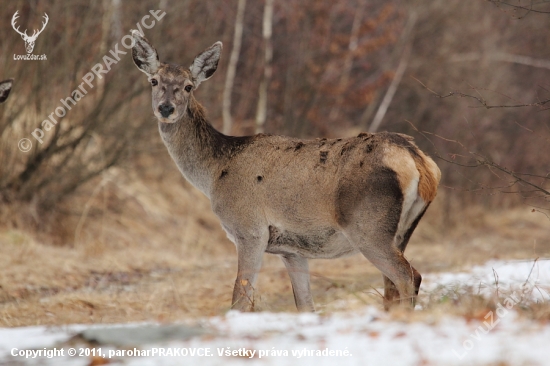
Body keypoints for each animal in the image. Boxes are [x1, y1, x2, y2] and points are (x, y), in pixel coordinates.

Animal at [132, 30, 442, 314]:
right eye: (154, 81)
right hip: (402, 229)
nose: (166, 108)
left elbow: (239, 299)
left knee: (408, 276)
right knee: (393, 285)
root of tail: (418, 160)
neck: (215, 172)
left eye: (188, 86)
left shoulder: (250, 229)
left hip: (368, 225)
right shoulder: (292, 251)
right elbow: (305, 305)